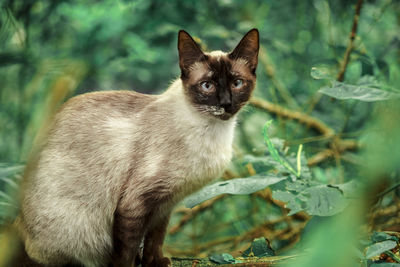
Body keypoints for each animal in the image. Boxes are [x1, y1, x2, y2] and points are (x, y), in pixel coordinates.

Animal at [15, 28, 260, 266]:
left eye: (237, 83)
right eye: (207, 86)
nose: (226, 104)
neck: (213, 132)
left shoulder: (165, 205)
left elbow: (155, 239)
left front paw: (155, 262)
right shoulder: (136, 203)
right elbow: (127, 250)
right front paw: (133, 262)